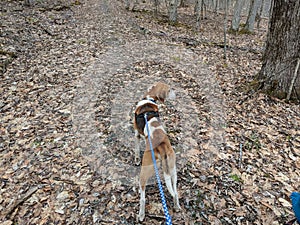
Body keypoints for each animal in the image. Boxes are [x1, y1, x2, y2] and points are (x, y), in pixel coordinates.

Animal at [134, 82, 180, 221]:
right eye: (169, 90)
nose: (176, 94)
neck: (149, 99)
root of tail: (163, 146)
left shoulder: (136, 134)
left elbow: (136, 150)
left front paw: (136, 159)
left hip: (145, 170)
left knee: (143, 197)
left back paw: (141, 214)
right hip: (173, 172)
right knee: (175, 192)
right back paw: (176, 206)